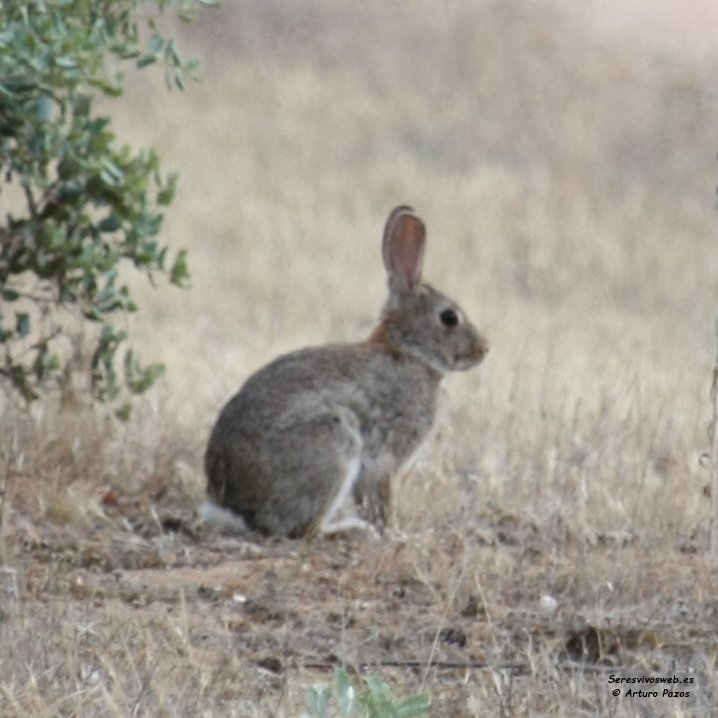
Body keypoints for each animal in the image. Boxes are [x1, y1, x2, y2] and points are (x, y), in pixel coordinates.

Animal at [202, 206, 488, 538]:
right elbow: (379, 502)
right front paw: (397, 535)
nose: (483, 349)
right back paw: (353, 530)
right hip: (333, 442)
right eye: (449, 317)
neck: (408, 350)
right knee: (304, 531)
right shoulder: (383, 457)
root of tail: (236, 508)